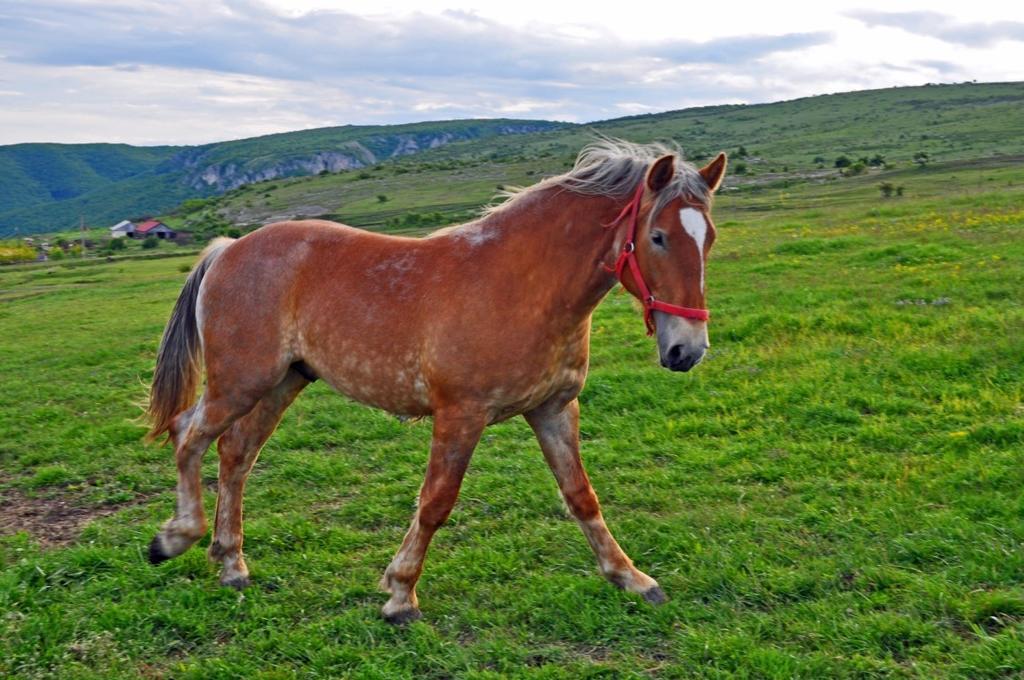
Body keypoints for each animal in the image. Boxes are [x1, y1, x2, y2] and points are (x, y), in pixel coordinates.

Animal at [148, 138, 729, 622]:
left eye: (709, 240)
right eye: (657, 237)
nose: (687, 350)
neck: (522, 285)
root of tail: (228, 249)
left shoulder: (554, 409)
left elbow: (581, 495)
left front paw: (631, 577)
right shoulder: (460, 415)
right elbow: (435, 503)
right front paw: (401, 594)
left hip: (280, 384)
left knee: (235, 454)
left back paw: (230, 563)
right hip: (240, 383)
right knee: (188, 435)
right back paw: (176, 538)